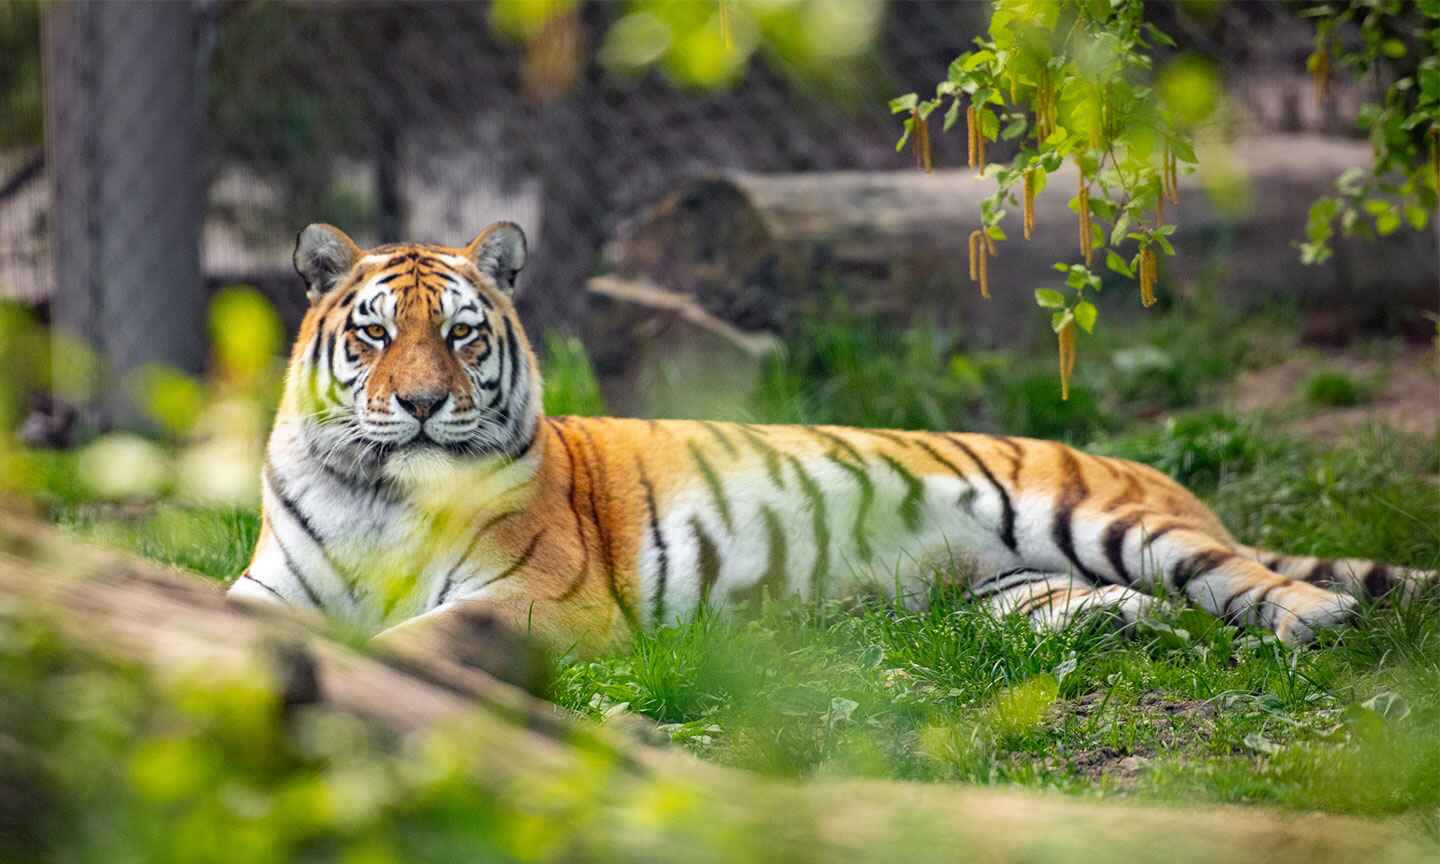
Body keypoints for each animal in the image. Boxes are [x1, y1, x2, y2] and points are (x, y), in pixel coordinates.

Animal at [230, 223, 1434, 653]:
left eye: (462, 334)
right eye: (376, 335)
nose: (422, 405)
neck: (381, 492)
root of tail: (1156, 473)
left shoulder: (543, 595)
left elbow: (424, 635)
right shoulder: (271, 585)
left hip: (1103, 515)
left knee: (1242, 577)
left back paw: (1316, 620)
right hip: (1017, 585)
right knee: (1133, 604)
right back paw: (1131, 632)